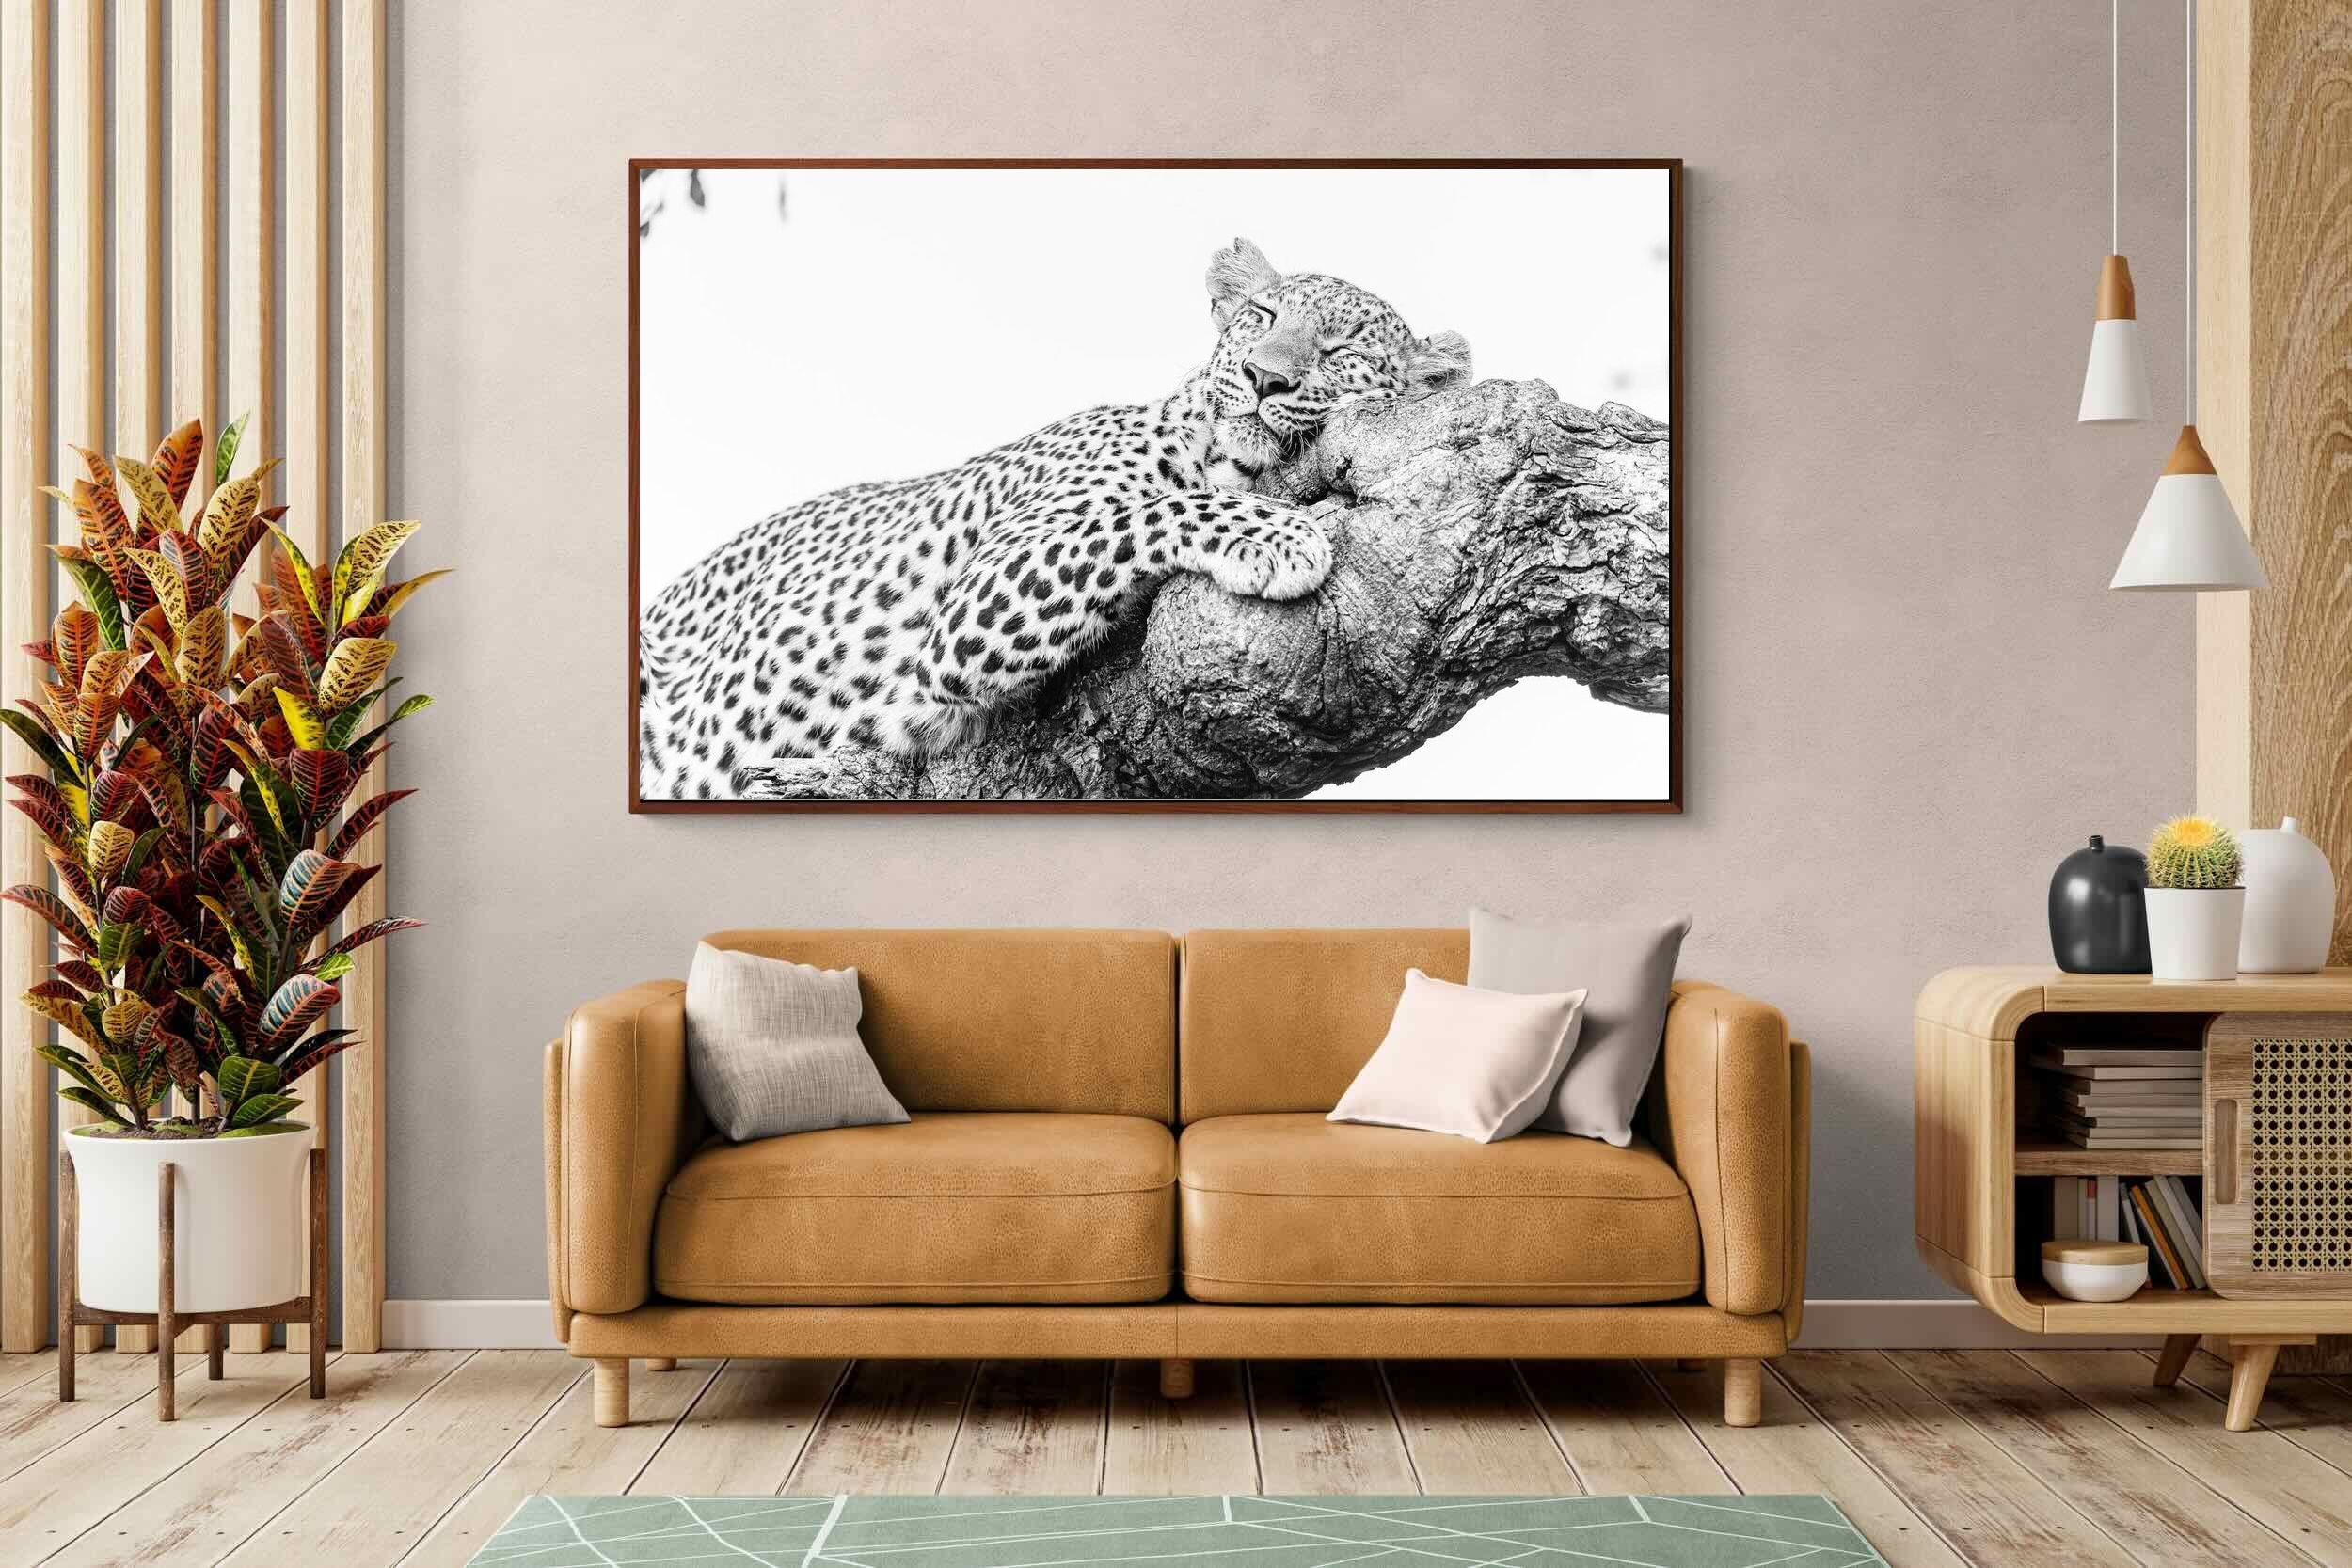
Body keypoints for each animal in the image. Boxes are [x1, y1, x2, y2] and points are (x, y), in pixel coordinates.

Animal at [636, 236, 1472, 800]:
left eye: (1340, 350)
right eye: (1261, 316)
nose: (1265, 377)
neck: (1221, 452)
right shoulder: (971, 608)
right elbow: (1147, 510)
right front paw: (1280, 534)